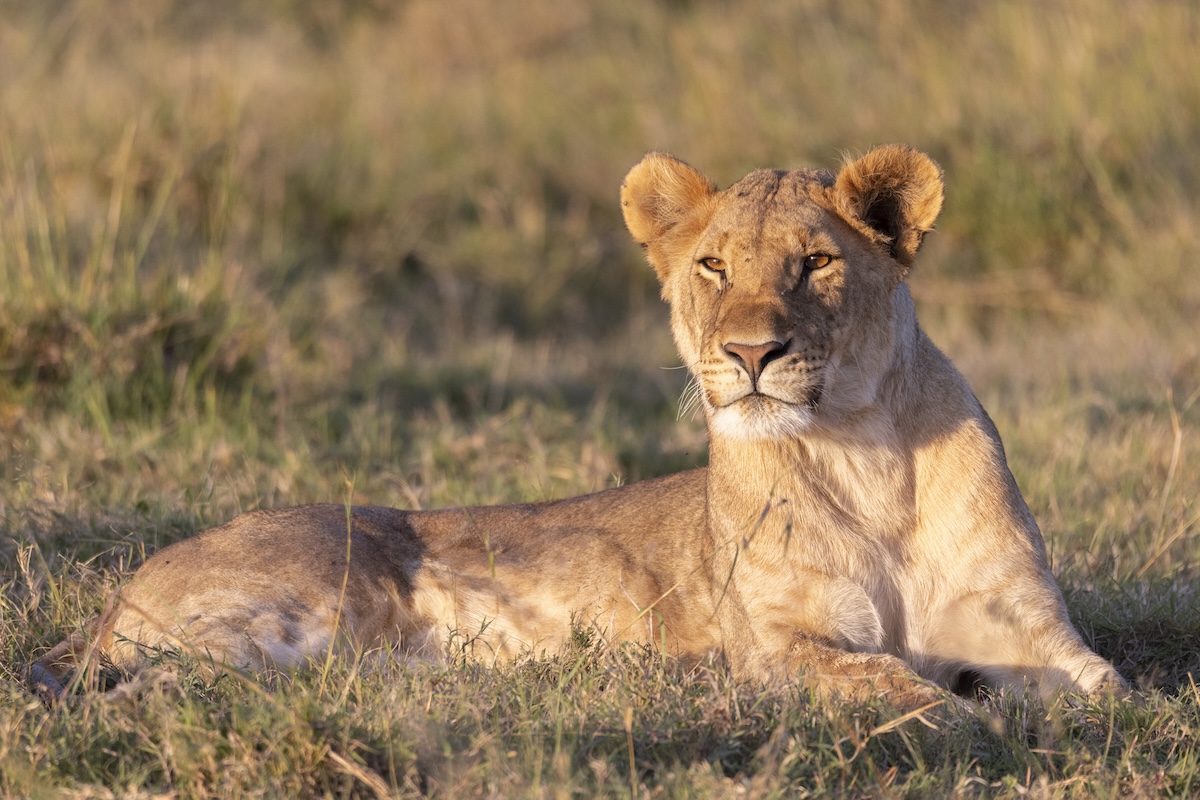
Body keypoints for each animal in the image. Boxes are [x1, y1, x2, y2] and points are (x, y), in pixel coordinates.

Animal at [31, 145, 1125, 707]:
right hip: (305, 612)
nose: (752, 353)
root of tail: (120, 592)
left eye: (817, 261)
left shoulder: (1023, 625)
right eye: (714, 266)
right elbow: (906, 691)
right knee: (166, 683)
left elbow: (1110, 691)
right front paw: (969, 720)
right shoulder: (780, 644)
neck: (867, 459)